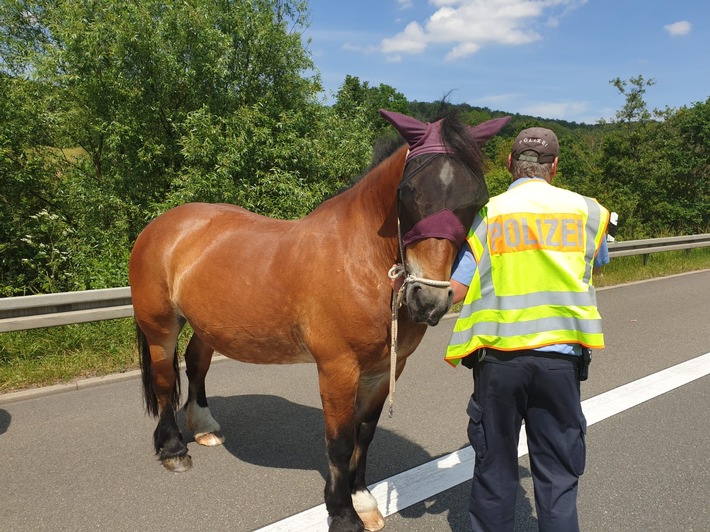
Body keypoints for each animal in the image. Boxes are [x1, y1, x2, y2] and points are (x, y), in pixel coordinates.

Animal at [131, 109, 508, 532]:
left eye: (477, 198)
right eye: (407, 191)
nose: (428, 301)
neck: (360, 259)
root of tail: (161, 225)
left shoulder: (386, 369)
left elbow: (365, 432)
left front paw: (362, 499)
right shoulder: (337, 368)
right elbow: (340, 441)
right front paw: (343, 513)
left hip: (206, 325)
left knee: (196, 363)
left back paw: (204, 427)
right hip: (161, 325)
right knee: (165, 380)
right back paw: (173, 448)